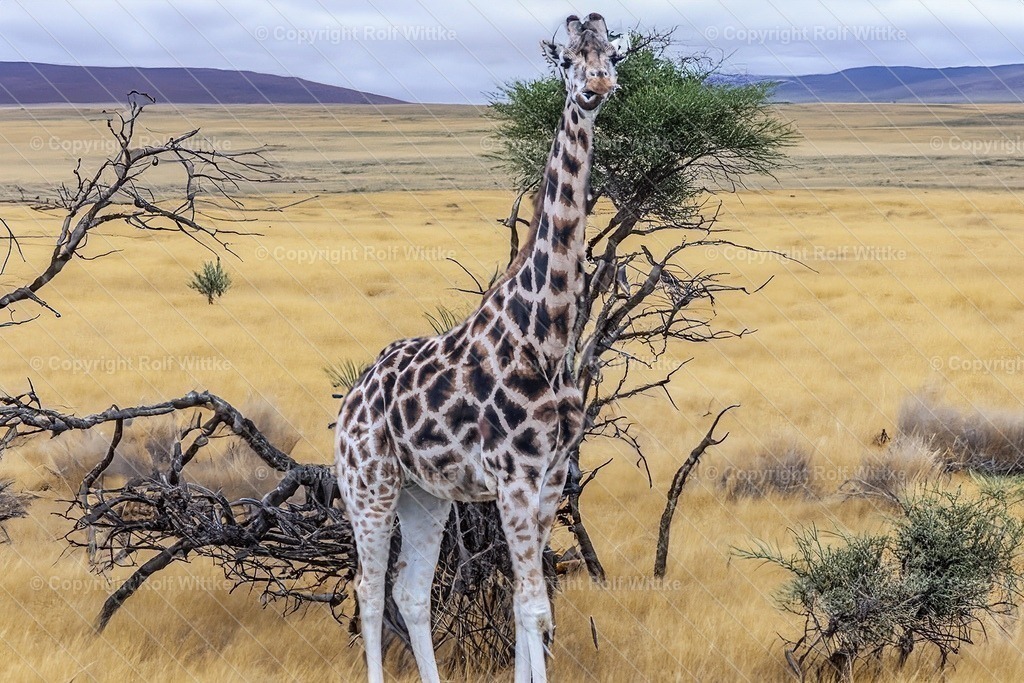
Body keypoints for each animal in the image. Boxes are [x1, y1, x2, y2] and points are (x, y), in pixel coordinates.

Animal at [335, 13, 624, 683]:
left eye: (613, 54)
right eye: (566, 60)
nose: (597, 87)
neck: (547, 336)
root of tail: (350, 400)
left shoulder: (550, 477)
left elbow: (528, 607)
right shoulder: (514, 477)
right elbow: (533, 604)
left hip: (424, 496)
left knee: (410, 589)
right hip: (368, 485)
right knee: (367, 588)